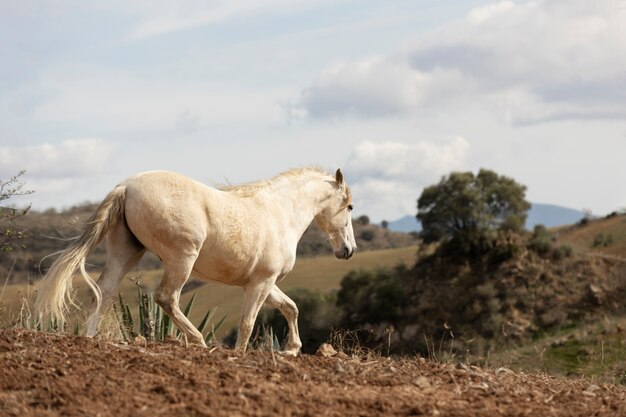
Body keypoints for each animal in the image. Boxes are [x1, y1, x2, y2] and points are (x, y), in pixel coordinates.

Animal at [35, 167, 356, 354]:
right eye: (350, 206)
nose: (348, 250)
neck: (280, 213)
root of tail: (126, 186)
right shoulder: (260, 283)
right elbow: (248, 323)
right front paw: (239, 356)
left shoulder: (263, 283)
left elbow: (291, 308)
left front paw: (291, 350)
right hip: (182, 259)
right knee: (166, 297)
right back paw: (198, 341)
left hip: (126, 253)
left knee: (103, 294)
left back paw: (90, 341)